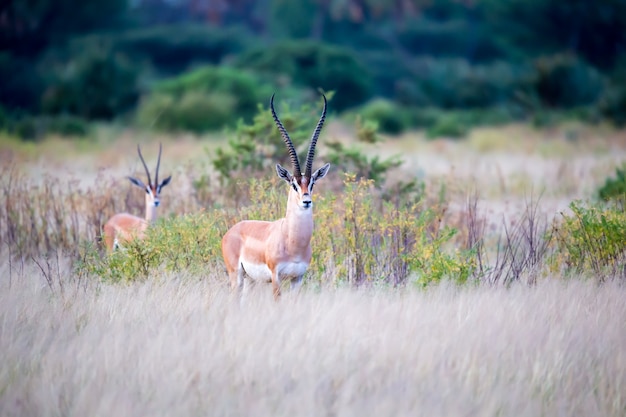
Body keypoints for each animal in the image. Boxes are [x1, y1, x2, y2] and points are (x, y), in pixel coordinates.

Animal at [223, 93, 332, 300]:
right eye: (294, 184)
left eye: (312, 183)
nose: (306, 201)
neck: (292, 241)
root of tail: (232, 230)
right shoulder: (276, 276)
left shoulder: (298, 278)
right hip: (236, 276)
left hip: (250, 280)